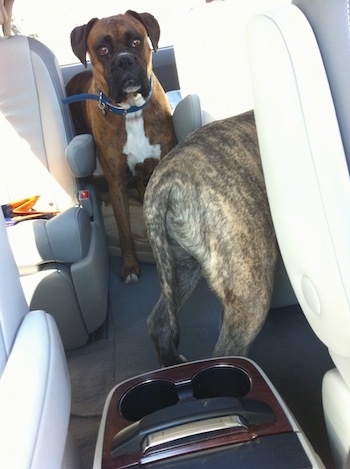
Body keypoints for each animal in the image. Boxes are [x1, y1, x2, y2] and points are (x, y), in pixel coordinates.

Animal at [65, 10, 176, 282]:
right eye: (102, 49)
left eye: (136, 41)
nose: (124, 61)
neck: (130, 110)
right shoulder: (116, 179)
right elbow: (124, 227)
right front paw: (130, 266)